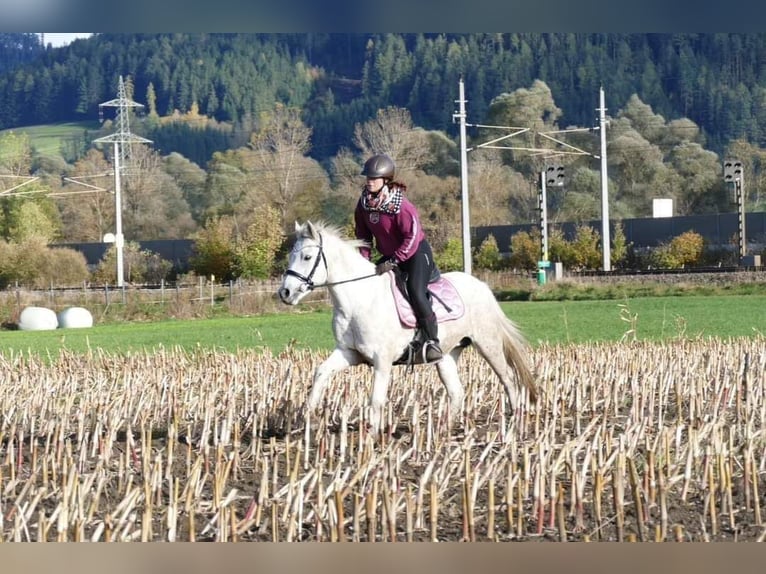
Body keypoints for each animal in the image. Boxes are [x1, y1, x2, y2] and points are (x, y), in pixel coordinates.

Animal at [278, 222, 540, 436]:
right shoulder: (349, 353)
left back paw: (514, 425)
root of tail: (482, 286)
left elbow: (376, 399)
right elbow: (321, 373)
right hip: (447, 355)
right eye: (291, 256)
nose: (285, 293)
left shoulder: (382, 360)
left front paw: (371, 440)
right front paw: (309, 418)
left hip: (488, 344)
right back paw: (440, 433)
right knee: (457, 392)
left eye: (307, 256)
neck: (360, 299)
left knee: (508, 378)